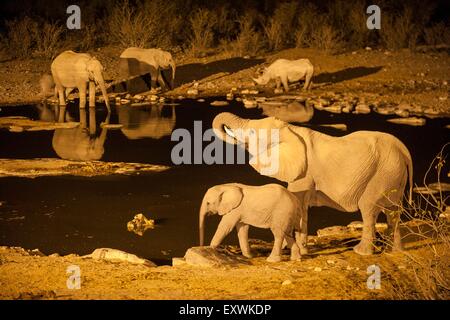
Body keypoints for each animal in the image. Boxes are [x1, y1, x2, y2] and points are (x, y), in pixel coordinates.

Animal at [213, 112, 414, 255]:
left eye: (253, 132)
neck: (290, 130)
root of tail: (404, 150)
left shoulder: (304, 173)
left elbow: (298, 200)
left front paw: (296, 250)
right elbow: (300, 205)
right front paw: (297, 249)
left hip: (382, 174)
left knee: (369, 209)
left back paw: (361, 252)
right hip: (394, 174)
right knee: (393, 212)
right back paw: (394, 251)